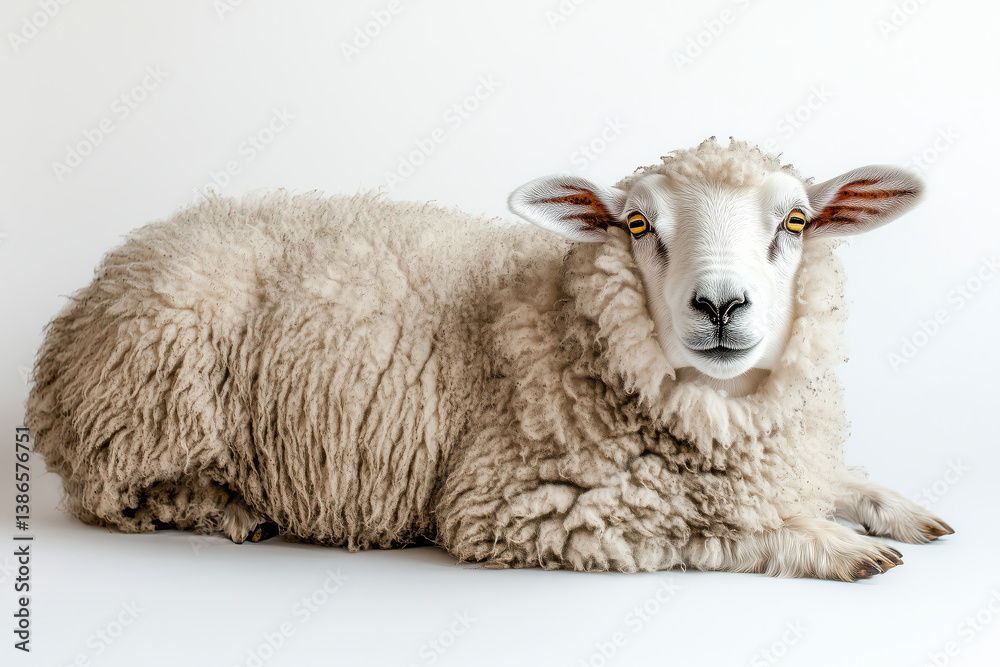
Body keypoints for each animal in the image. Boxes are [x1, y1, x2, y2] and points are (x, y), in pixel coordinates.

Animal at [25, 137, 953, 581]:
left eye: (796, 220)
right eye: (638, 223)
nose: (721, 306)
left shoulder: (778, 453)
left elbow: (826, 480)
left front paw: (892, 505)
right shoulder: (520, 504)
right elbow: (711, 527)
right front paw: (830, 543)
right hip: (148, 404)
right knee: (124, 496)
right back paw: (228, 508)